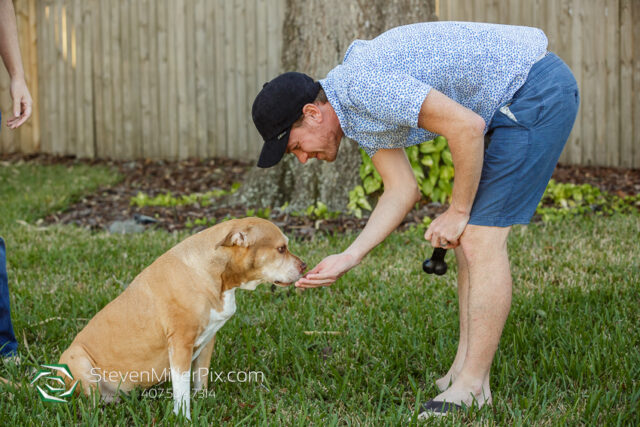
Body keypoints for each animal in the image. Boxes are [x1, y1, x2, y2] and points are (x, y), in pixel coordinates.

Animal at [58, 219, 306, 420]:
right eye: (281, 249)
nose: (304, 265)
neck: (218, 276)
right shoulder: (180, 344)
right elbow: (181, 388)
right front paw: (183, 416)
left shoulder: (207, 341)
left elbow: (200, 377)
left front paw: (203, 398)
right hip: (78, 360)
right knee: (89, 402)